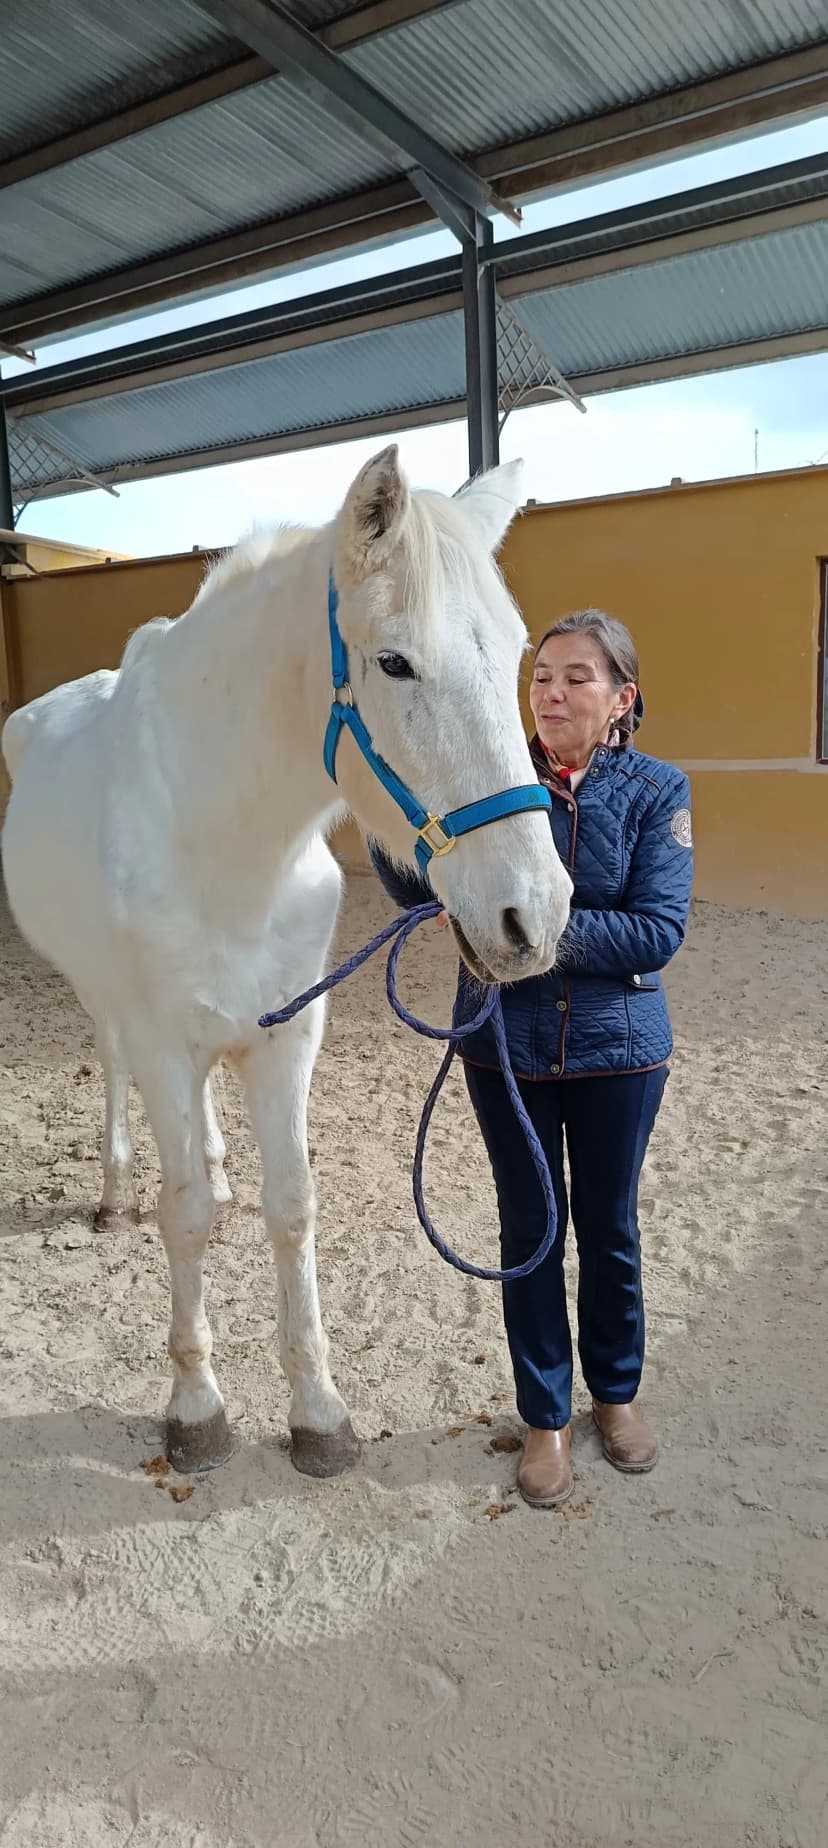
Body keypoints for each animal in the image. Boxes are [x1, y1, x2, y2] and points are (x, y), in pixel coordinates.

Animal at [1, 446, 572, 1478]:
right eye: (394, 660)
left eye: (516, 655)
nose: (534, 915)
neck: (225, 833)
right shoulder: (163, 1039)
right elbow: (185, 1217)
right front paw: (194, 1407)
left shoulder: (288, 1033)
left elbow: (292, 1207)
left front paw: (317, 1411)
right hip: (104, 1001)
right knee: (111, 1069)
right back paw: (115, 1190)